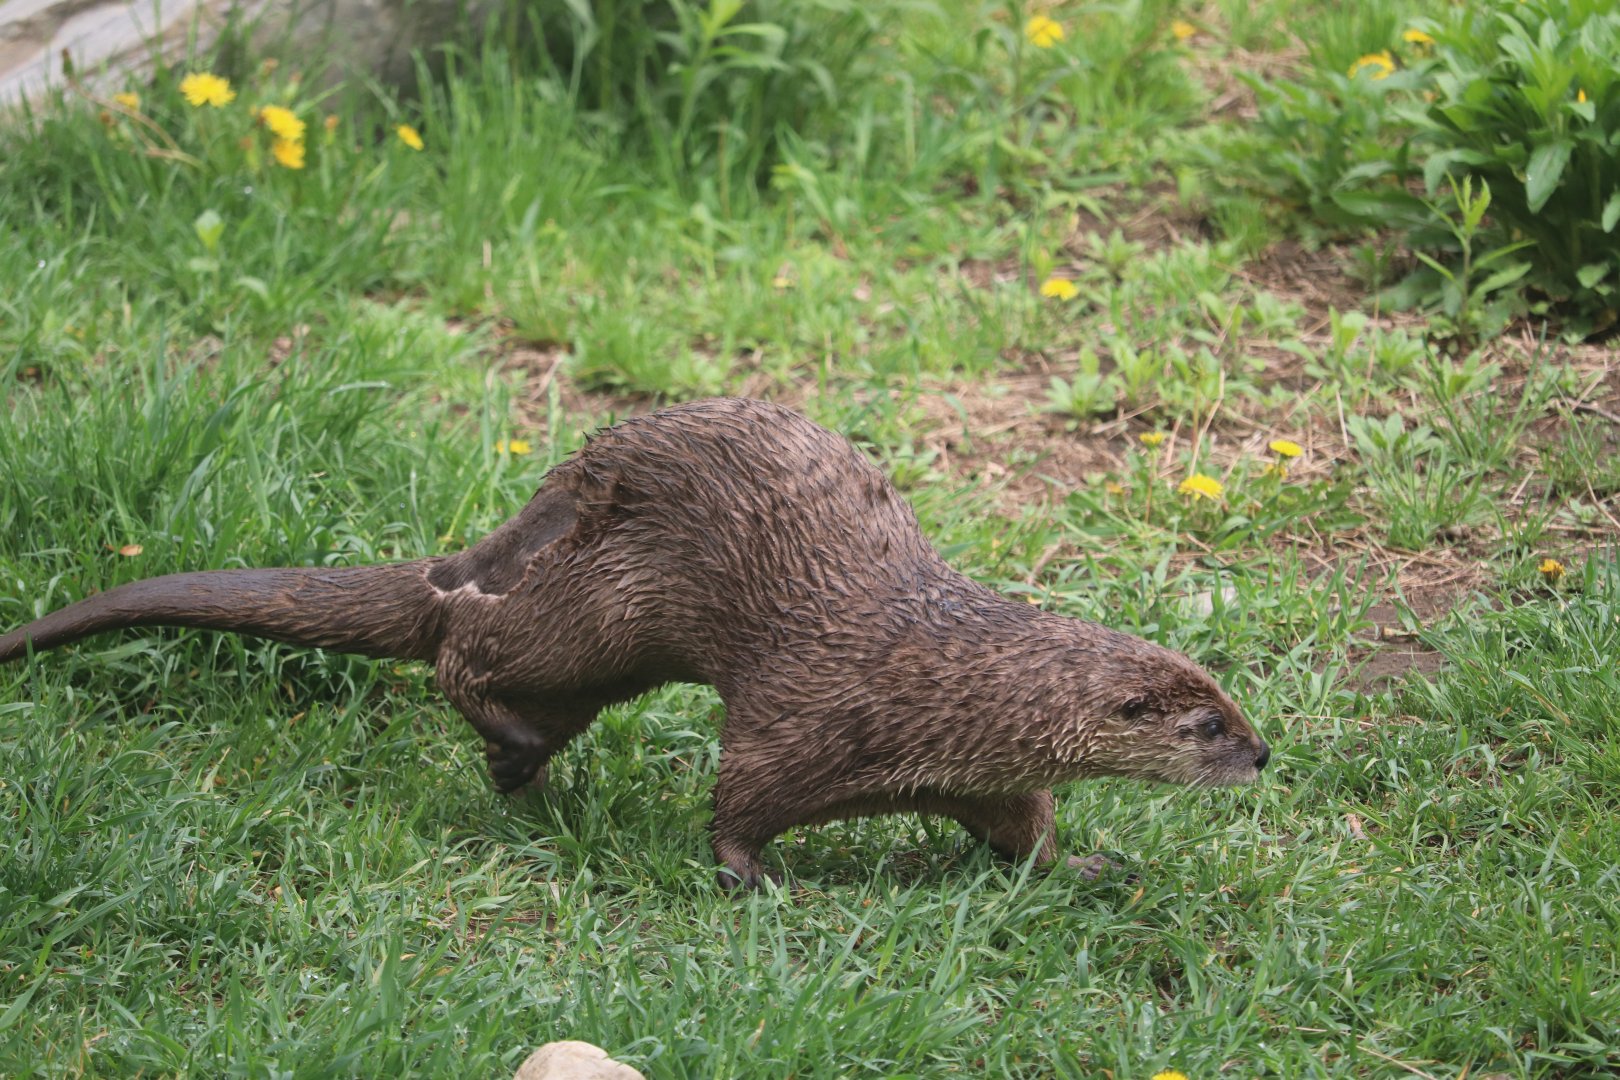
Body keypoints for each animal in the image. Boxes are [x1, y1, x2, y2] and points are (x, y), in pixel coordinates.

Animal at [0, 398, 1269, 888]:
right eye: (1207, 724)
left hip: (596, 652)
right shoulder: (808, 710)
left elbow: (1022, 834)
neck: (941, 689)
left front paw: (1087, 865)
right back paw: (511, 751)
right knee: (461, 649)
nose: (1264, 757)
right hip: (598, 617)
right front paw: (755, 880)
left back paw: (520, 773)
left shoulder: (988, 777)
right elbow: (741, 795)